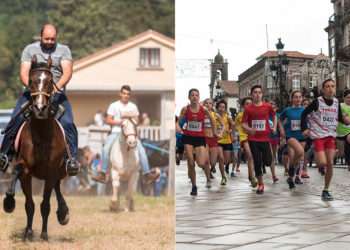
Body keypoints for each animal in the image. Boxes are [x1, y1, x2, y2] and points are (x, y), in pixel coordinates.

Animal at [3, 56, 70, 240]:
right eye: (31, 81)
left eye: (49, 82)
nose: (40, 108)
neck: (41, 134)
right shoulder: (25, 171)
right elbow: (29, 204)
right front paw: (28, 232)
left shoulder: (51, 172)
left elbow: (45, 204)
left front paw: (44, 234)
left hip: (59, 171)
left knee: (57, 189)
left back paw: (63, 212)